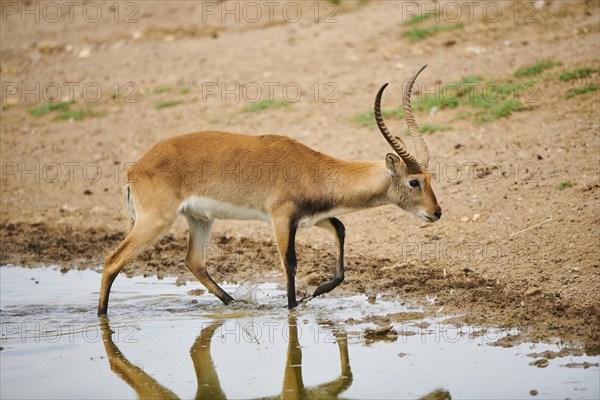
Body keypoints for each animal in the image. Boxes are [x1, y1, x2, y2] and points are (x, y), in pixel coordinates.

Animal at [97, 65, 440, 316]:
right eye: (414, 181)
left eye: (430, 177)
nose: (436, 212)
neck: (313, 168)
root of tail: (136, 167)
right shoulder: (281, 219)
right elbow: (290, 264)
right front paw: (293, 308)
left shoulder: (312, 218)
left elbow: (341, 229)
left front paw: (317, 291)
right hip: (156, 221)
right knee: (113, 260)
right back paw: (101, 316)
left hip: (200, 219)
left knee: (194, 262)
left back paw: (236, 303)